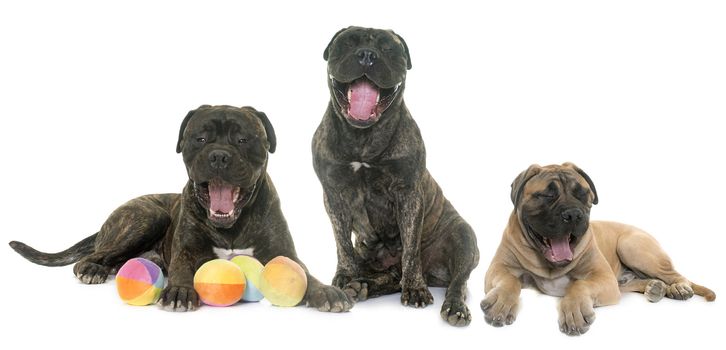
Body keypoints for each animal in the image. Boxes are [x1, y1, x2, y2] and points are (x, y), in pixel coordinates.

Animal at [484, 164, 716, 336]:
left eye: (582, 194)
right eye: (547, 195)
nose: (573, 214)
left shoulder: (603, 278)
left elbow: (579, 285)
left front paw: (575, 310)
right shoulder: (499, 268)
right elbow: (510, 280)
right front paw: (501, 303)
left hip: (632, 247)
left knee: (675, 274)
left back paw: (679, 288)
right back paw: (656, 288)